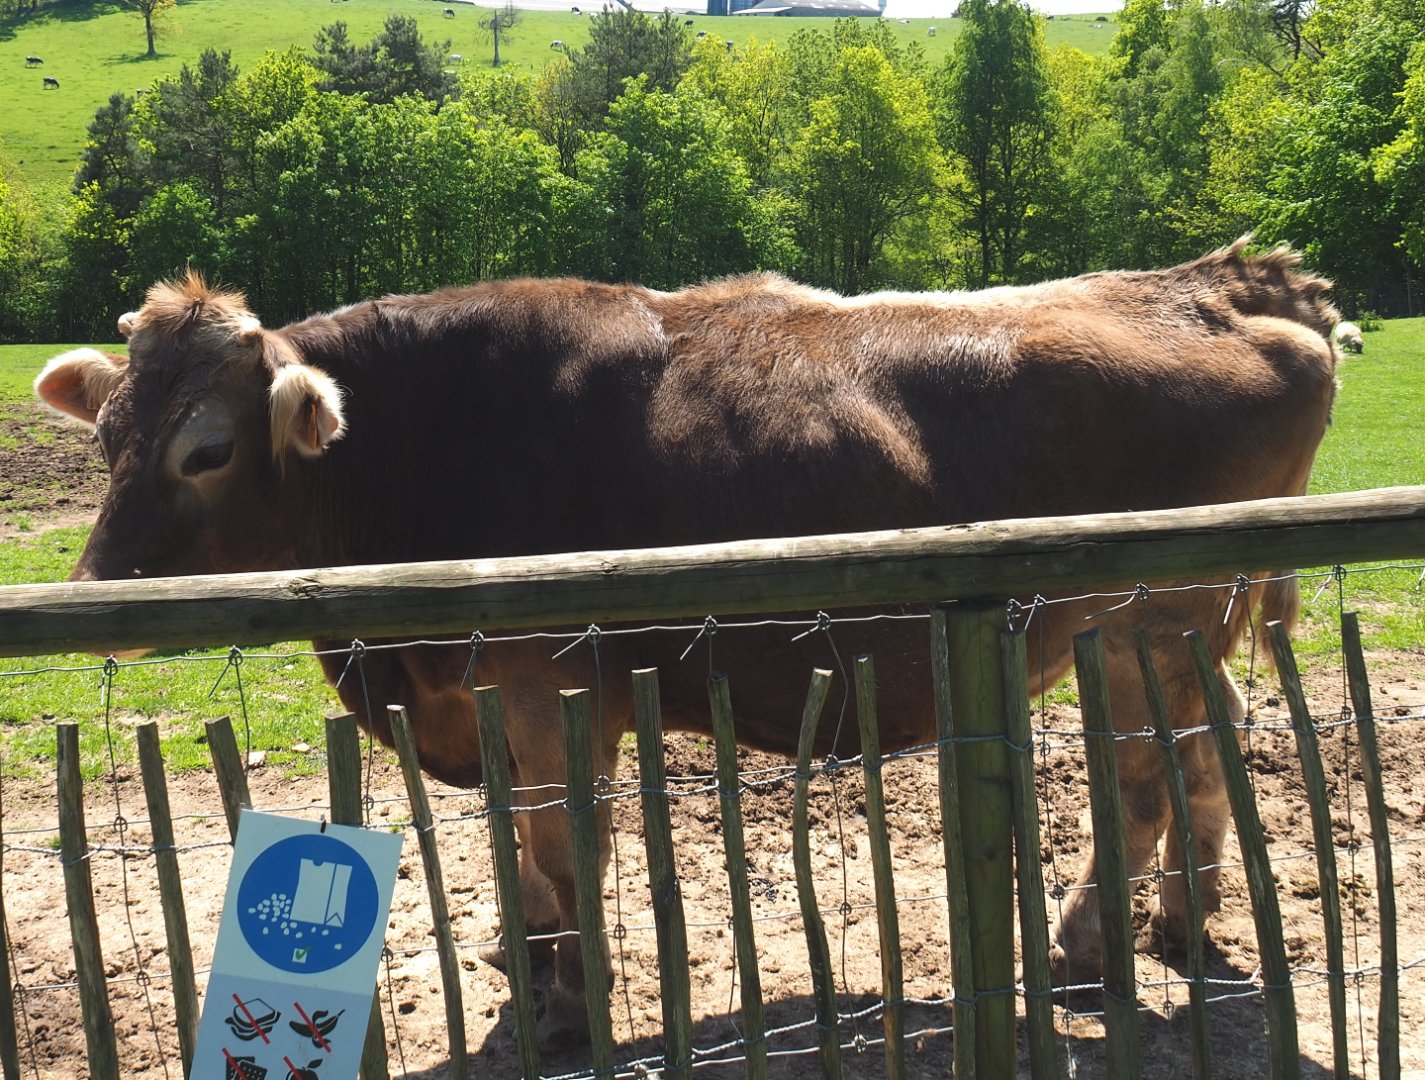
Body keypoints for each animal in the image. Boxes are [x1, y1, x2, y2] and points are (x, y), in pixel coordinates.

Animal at [35, 240, 1338, 1044]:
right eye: (104, 434)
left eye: (206, 449)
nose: (94, 591)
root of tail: (1216, 282)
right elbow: (514, 849)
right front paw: (524, 959)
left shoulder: (541, 683)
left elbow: (561, 847)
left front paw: (570, 1004)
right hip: (1153, 626)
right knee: (1189, 757)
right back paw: (1165, 924)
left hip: (1155, 612)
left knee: (1161, 767)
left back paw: (1096, 939)